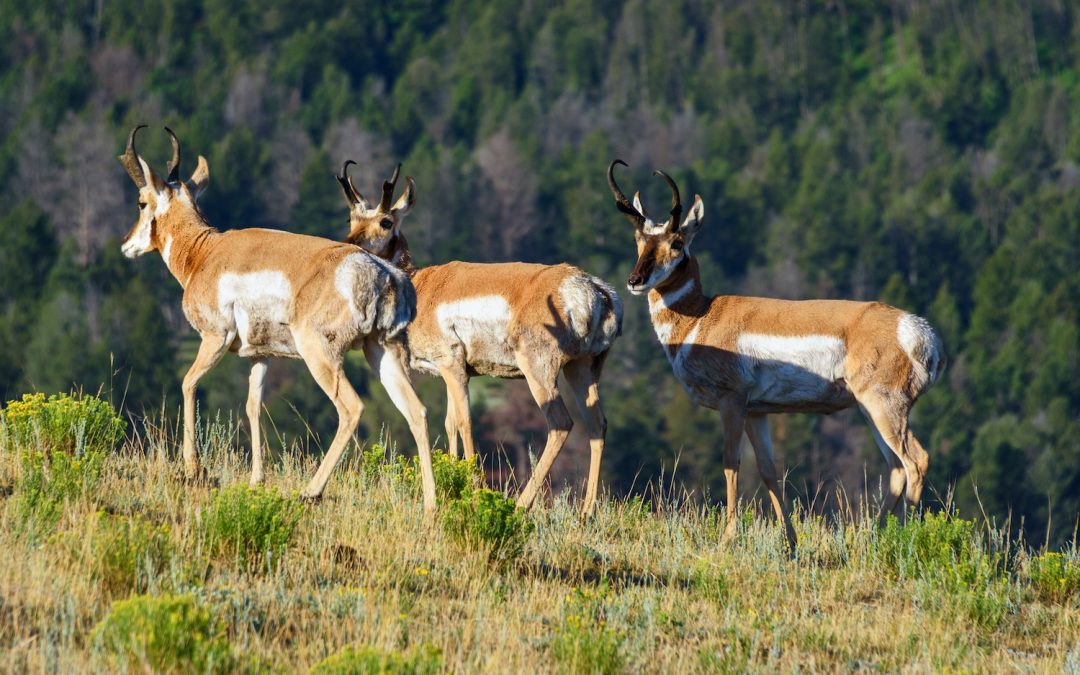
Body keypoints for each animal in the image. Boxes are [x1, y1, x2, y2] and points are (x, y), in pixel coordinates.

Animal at [116, 126, 437, 510]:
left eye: (140, 202)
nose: (125, 244)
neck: (204, 253)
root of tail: (382, 271)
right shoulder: (261, 355)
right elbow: (253, 406)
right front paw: (257, 480)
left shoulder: (214, 338)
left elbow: (188, 383)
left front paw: (192, 469)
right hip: (381, 352)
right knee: (417, 411)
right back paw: (431, 505)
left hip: (321, 355)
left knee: (352, 408)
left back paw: (311, 491)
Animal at [334, 161, 623, 516]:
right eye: (351, 218)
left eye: (386, 221)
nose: (350, 243)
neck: (421, 286)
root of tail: (595, 289)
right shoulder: (451, 373)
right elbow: (450, 422)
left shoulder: (452, 366)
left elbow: (465, 421)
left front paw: (472, 492)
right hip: (582, 368)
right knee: (597, 425)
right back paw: (586, 512)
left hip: (539, 370)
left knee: (561, 423)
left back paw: (521, 504)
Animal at [607, 160, 945, 548]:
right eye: (639, 240)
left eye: (676, 242)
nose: (635, 280)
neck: (702, 317)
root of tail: (918, 331)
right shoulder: (758, 411)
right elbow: (769, 471)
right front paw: (791, 541)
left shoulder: (732, 401)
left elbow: (731, 462)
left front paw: (729, 537)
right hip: (869, 410)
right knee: (896, 469)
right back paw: (873, 539)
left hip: (884, 405)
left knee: (916, 461)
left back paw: (906, 538)